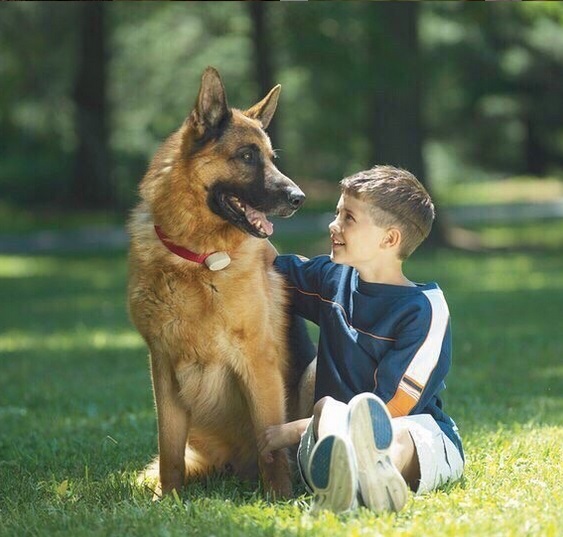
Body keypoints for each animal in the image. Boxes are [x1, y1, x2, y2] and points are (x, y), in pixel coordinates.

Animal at [128, 68, 306, 498]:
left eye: (271, 158)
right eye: (247, 156)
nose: (300, 198)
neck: (196, 260)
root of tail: (235, 469)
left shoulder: (258, 362)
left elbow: (272, 445)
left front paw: (280, 499)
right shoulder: (162, 367)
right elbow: (169, 450)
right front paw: (168, 499)